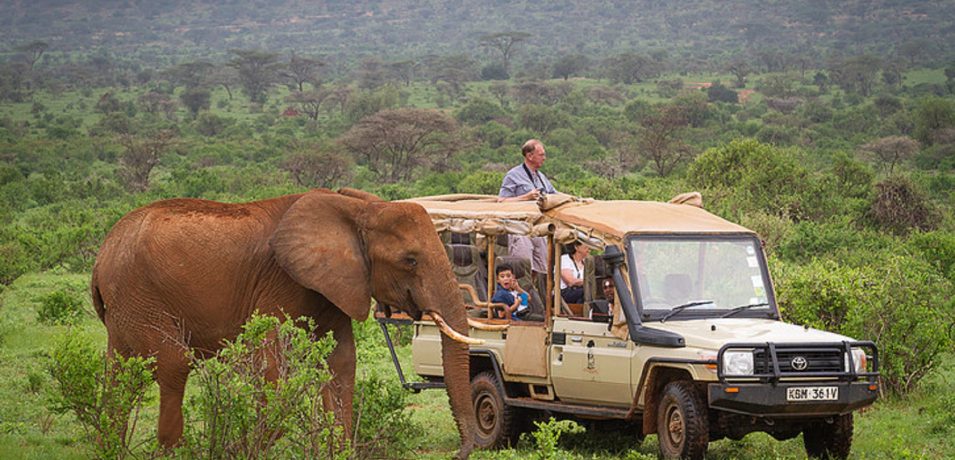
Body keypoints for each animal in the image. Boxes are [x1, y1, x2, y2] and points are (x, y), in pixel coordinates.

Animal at [91, 189, 478, 458]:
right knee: (173, 364)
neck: (357, 210)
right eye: (410, 260)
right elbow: (271, 363)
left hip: (126, 305)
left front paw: (339, 451)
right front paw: (239, 448)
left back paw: (110, 448)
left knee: (119, 372)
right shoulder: (281, 280)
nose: (460, 452)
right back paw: (173, 452)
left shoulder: (334, 285)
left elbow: (341, 363)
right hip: (139, 292)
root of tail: (103, 253)